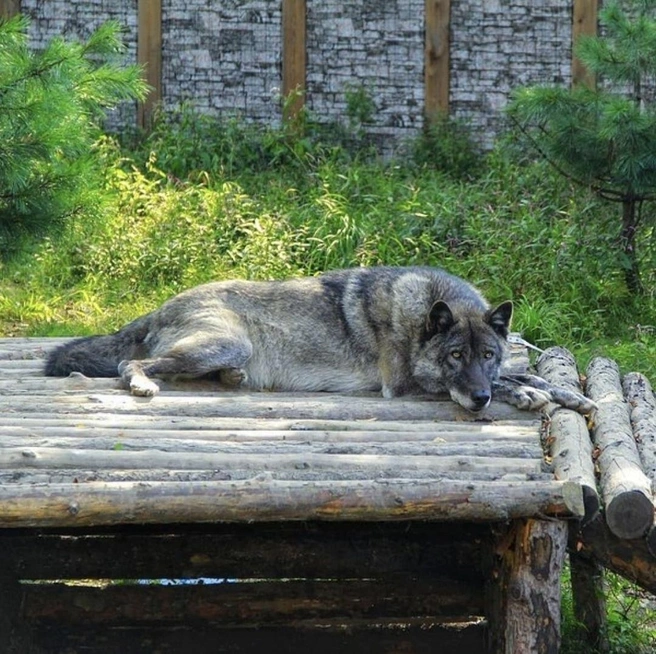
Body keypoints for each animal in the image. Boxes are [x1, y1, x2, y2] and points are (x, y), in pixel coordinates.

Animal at [45, 266, 593, 414]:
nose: (477, 400)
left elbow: (523, 372)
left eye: (487, 354)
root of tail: (160, 305)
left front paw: (569, 394)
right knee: (131, 367)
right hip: (225, 342)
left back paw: (233, 379)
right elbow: (513, 382)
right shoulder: (404, 386)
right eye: (456, 356)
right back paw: (143, 385)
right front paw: (527, 395)